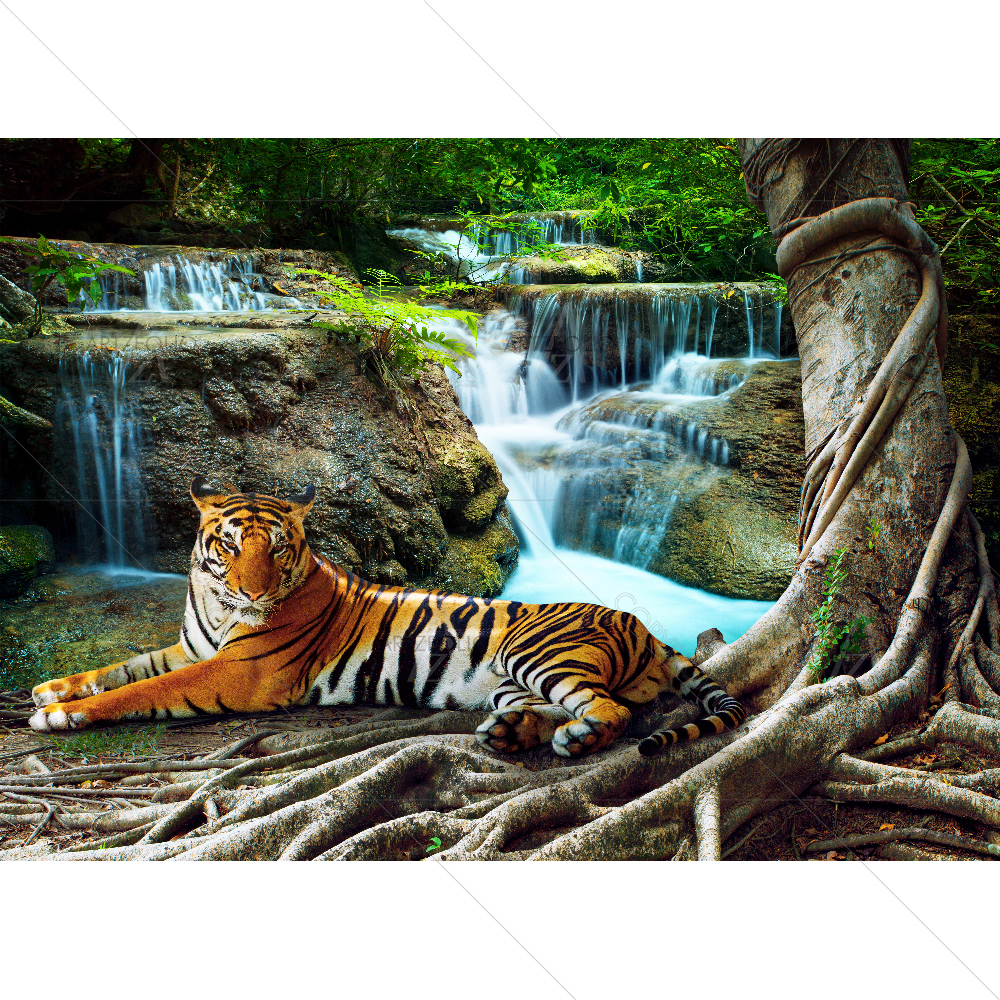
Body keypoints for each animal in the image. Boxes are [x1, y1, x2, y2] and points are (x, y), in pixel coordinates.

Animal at [29, 478, 746, 758]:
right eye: (228, 546)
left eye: (278, 548)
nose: (254, 592)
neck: (214, 603)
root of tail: (643, 627)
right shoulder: (192, 648)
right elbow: (124, 667)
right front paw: (52, 690)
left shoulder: (237, 673)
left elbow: (142, 689)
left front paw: (63, 714)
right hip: (511, 679)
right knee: (559, 708)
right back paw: (509, 733)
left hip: (538, 652)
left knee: (611, 712)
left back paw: (571, 739)